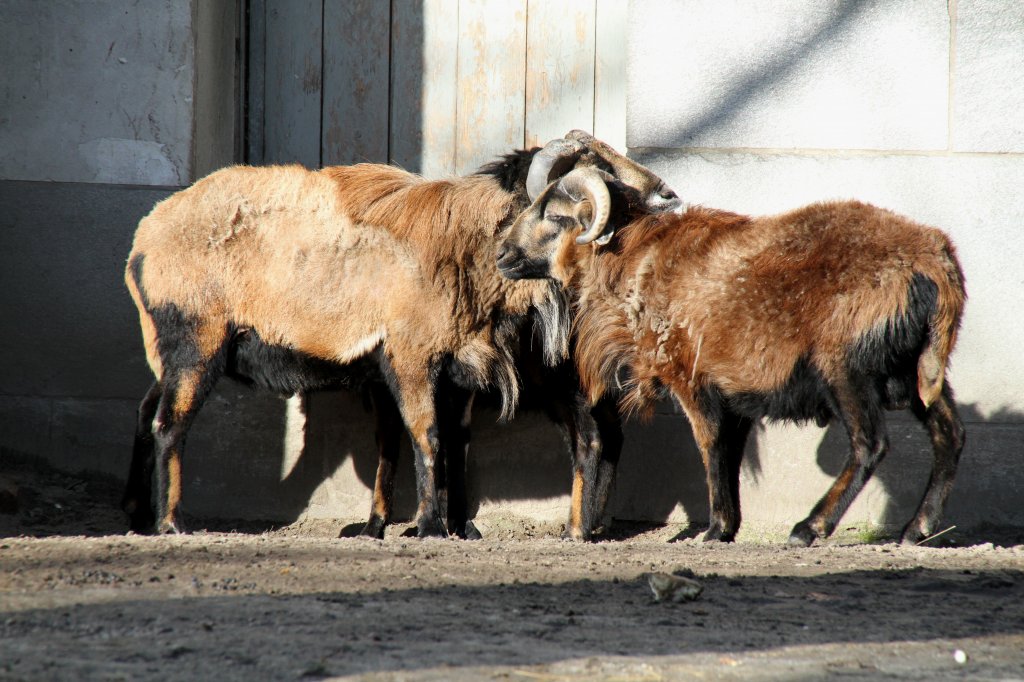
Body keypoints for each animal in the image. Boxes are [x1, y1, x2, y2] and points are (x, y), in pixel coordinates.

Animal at [121, 131, 679, 536]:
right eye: (601, 169)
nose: (668, 192)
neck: (469, 241)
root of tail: (144, 240)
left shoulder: (456, 369)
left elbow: (451, 442)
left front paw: (456, 528)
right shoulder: (411, 358)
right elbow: (426, 437)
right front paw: (429, 527)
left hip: (165, 350)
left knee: (146, 410)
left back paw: (137, 513)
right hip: (195, 340)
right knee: (169, 423)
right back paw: (171, 524)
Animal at [495, 166, 966, 544]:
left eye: (554, 215)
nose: (502, 254)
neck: (633, 259)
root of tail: (934, 263)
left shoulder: (690, 377)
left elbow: (711, 444)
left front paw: (714, 529)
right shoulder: (736, 395)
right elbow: (731, 452)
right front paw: (729, 527)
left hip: (847, 368)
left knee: (870, 444)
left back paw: (809, 528)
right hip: (919, 371)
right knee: (950, 434)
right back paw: (916, 529)